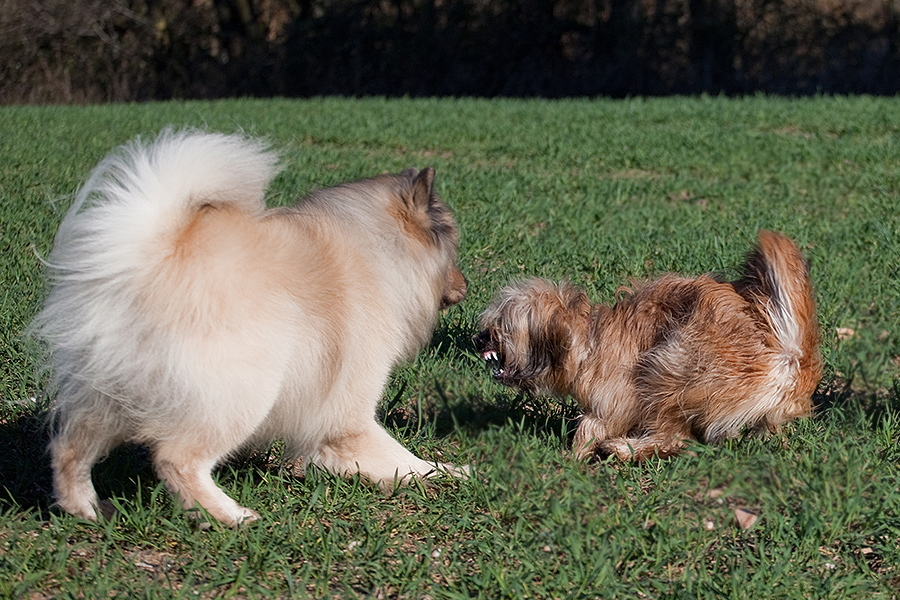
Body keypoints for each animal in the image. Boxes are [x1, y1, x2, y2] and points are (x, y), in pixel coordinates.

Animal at [478, 230, 824, 460]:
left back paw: (623, 449)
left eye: (503, 326)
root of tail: (791, 352)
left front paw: (575, 455)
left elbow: (592, 424)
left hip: (669, 366)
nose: (479, 338)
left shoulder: (617, 397)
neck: (585, 341)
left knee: (674, 437)